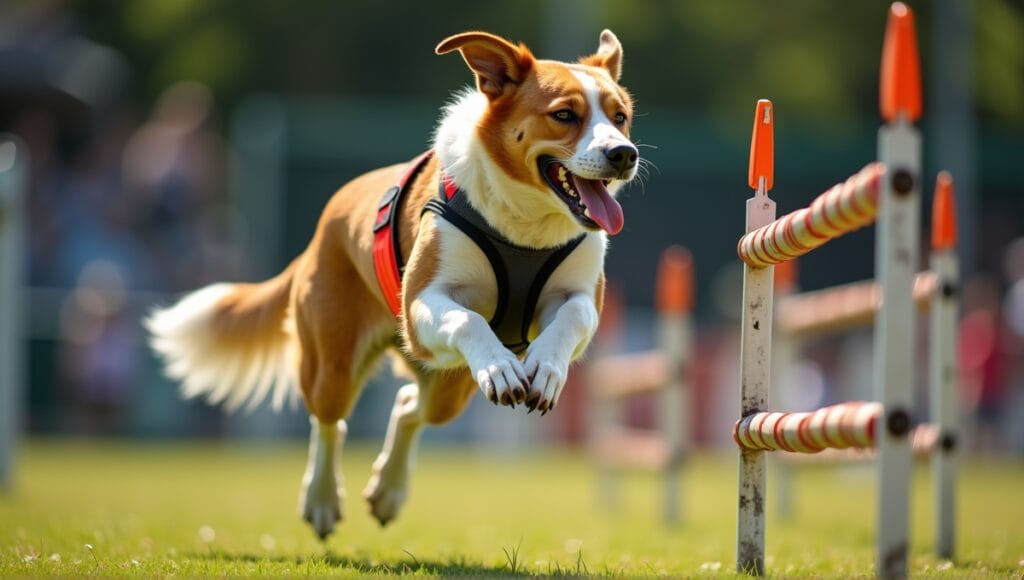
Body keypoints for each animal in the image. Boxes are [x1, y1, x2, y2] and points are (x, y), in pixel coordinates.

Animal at [146, 28, 638, 541]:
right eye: (564, 115)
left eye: (620, 117)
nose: (624, 154)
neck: (526, 228)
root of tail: (320, 232)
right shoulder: (422, 305)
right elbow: (467, 318)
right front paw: (503, 368)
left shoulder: (580, 294)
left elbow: (574, 314)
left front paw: (544, 367)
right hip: (335, 359)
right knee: (330, 420)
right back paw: (322, 501)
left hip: (448, 386)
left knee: (408, 405)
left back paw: (387, 492)